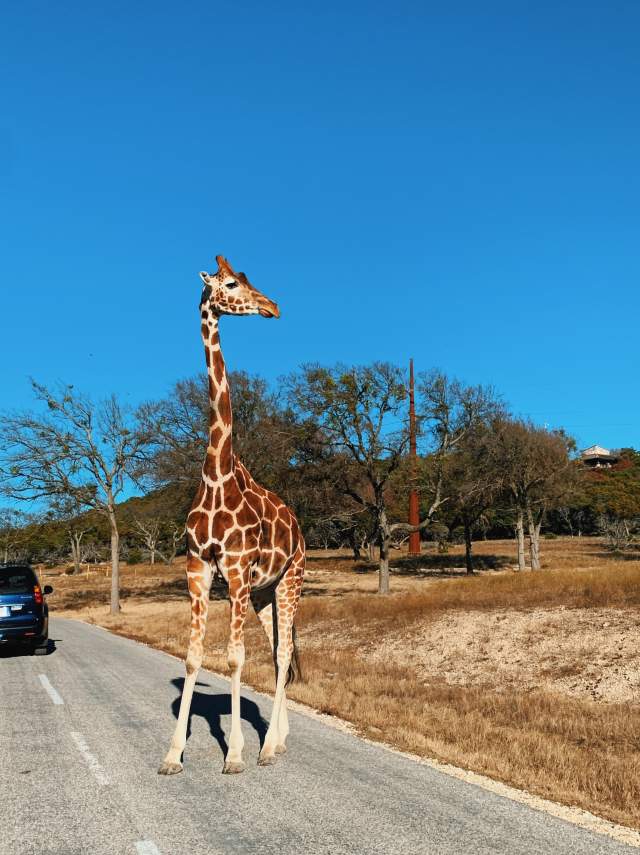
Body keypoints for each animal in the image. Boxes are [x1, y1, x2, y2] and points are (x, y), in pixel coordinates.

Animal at [158, 255, 305, 775]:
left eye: (244, 278)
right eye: (230, 283)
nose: (273, 306)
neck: (216, 474)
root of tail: (299, 527)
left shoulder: (237, 570)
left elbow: (236, 658)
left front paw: (236, 754)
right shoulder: (198, 567)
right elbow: (192, 656)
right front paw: (172, 755)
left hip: (289, 579)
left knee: (282, 654)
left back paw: (266, 748)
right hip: (262, 593)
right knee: (279, 649)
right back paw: (279, 740)